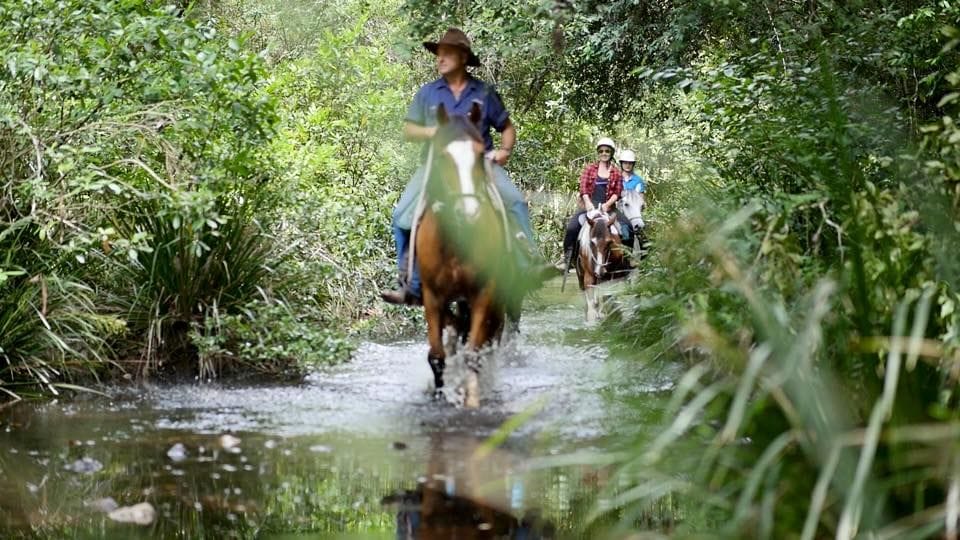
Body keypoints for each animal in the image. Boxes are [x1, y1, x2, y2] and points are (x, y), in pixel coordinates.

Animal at [412, 101, 516, 408]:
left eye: (480, 154)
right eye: (443, 156)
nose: (468, 213)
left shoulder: (483, 293)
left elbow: (473, 353)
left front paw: (471, 400)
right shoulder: (433, 297)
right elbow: (437, 356)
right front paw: (439, 395)